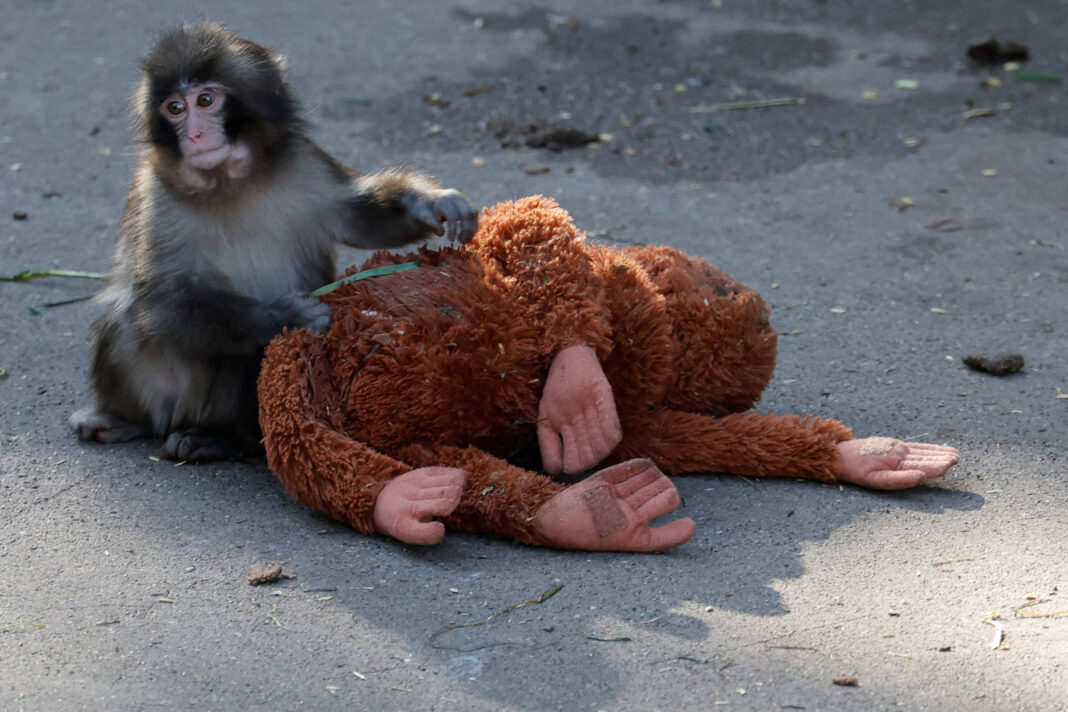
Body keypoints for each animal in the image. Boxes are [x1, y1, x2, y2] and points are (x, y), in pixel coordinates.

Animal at [68, 23, 478, 462]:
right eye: (174, 108)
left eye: (206, 100)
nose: (195, 134)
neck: (229, 183)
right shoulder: (155, 197)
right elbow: (160, 300)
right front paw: (286, 316)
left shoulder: (304, 162)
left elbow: (360, 218)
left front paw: (432, 203)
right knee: (128, 325)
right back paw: (129, 420)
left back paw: (222, 438)